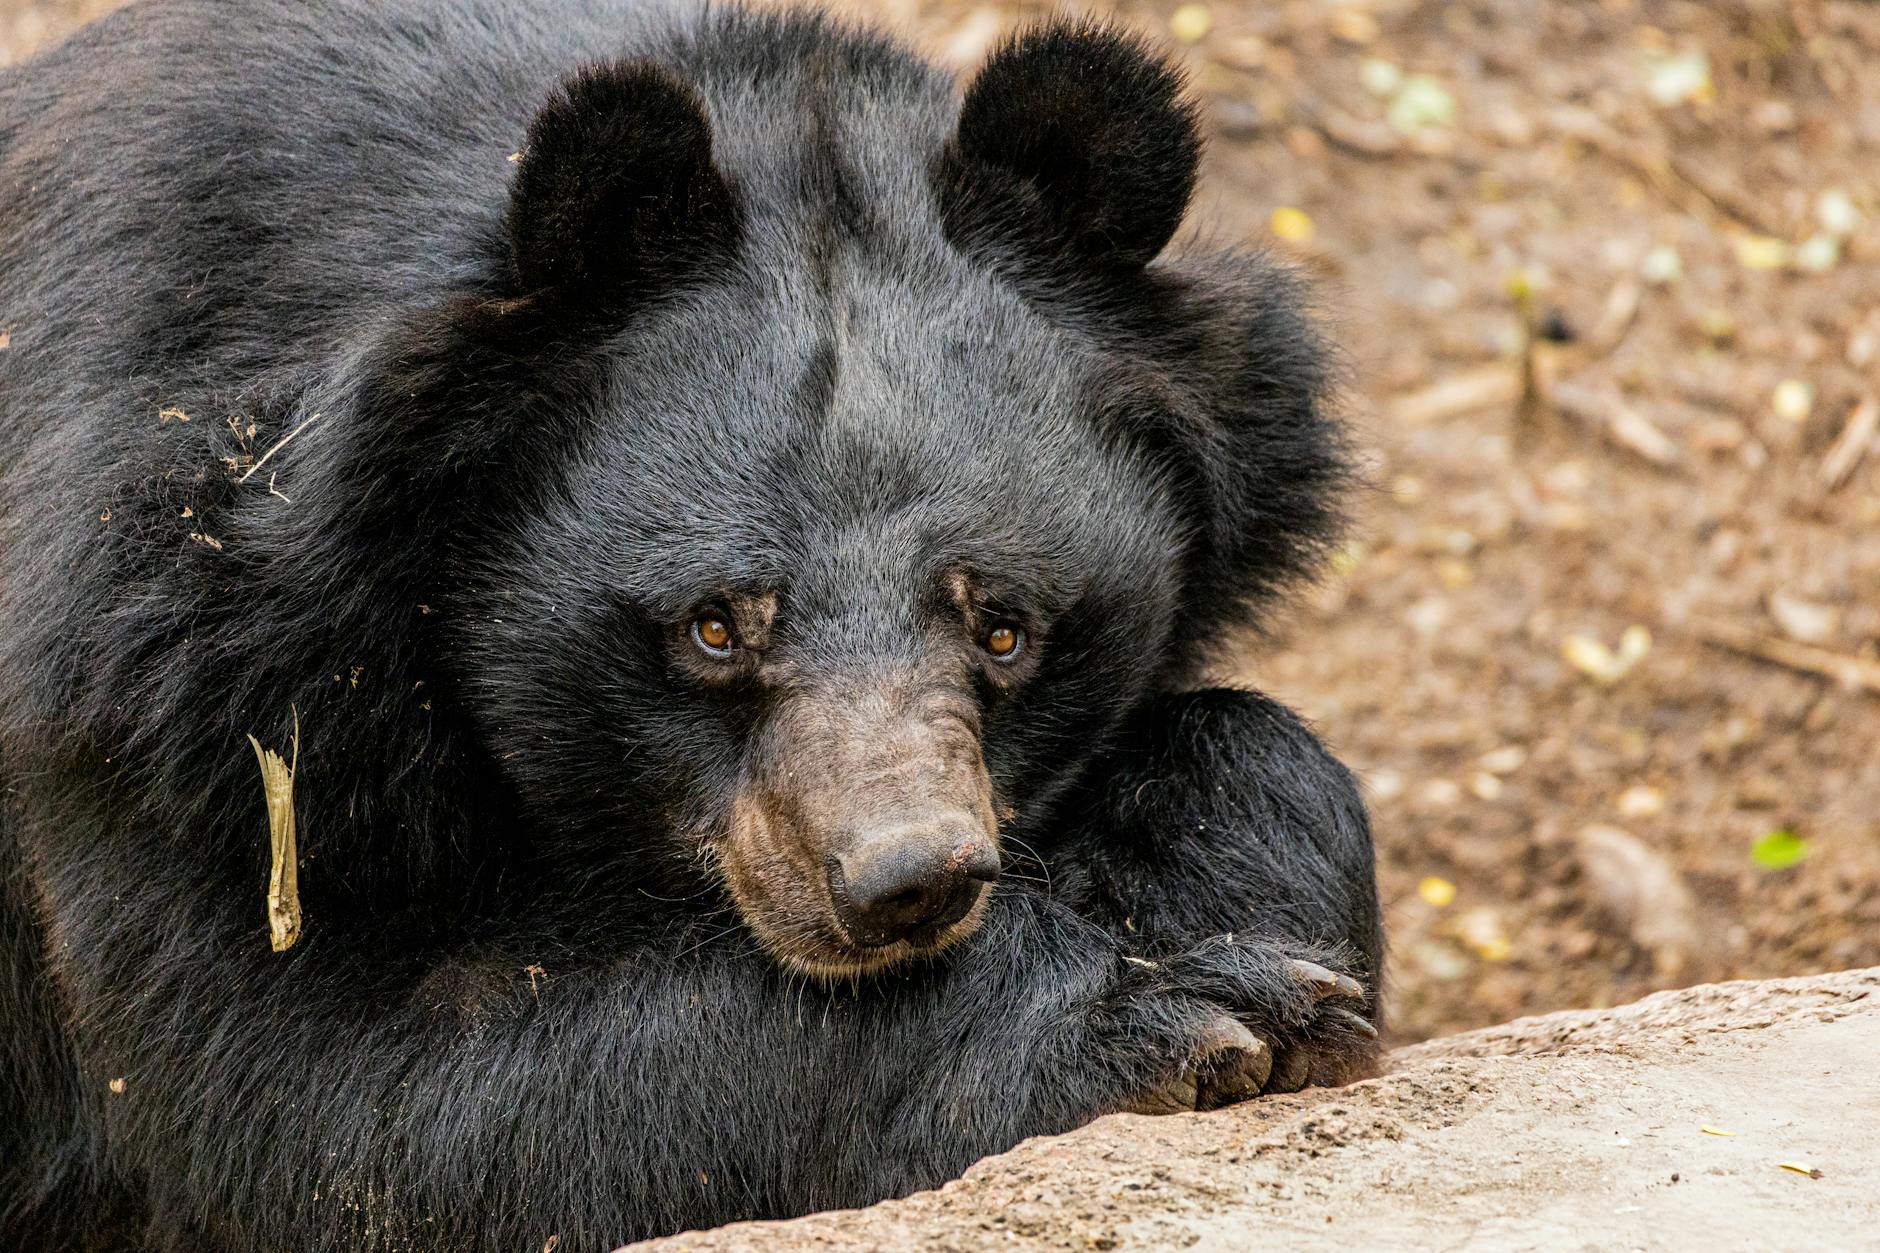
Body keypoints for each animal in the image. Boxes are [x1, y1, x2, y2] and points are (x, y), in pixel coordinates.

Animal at [0, 1, 1383, 1249]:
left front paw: (1257, 923)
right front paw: (1185, 1010)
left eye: (1005, 628)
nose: (908, 881)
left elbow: (1258, 760)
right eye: (713, 627)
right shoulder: (162, 683)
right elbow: (337, 1111)